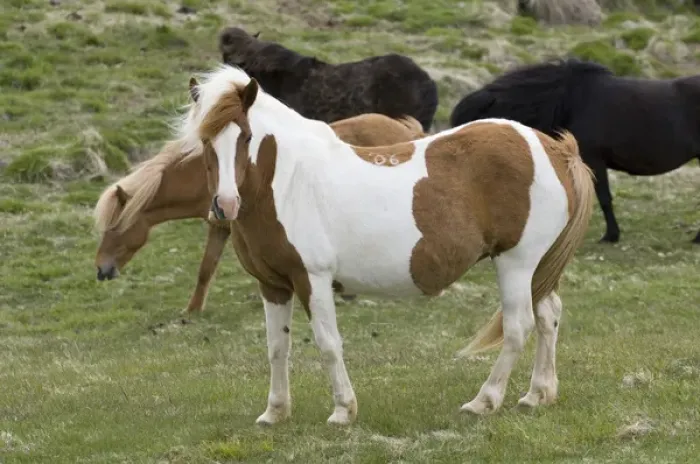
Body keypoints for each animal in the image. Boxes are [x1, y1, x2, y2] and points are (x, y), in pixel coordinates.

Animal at [180, 64, 595, 425]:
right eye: (204, 140)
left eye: (247, 136)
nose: (225, 205)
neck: (288, 180)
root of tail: (553, 149)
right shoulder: (273, 285)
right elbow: (277, 347)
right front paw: (275, 412)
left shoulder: (312, 278)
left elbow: (328, 343)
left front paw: (343, 411)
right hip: (537, 268)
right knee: (548, 316)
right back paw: (537, 394)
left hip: (516, 262)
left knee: (518, 327)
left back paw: (484, 400)